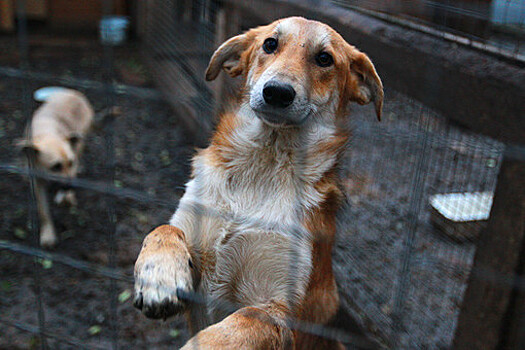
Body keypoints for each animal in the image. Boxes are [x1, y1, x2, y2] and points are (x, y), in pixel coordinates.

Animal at [18, 87, 94, 247]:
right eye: (55, 167)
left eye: (70, 163)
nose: (73, 187)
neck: (47, 133)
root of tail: (76, 94)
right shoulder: (37, 181)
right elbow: (43, 211)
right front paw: (48, 234)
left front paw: (67, 196)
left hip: (80, 141)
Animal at [133, 15, 382, 348]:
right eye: (270, 44)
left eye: (324, 59)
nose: (277, 92)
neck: (262, 167)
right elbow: (163, 229)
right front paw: (159, 276)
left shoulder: (279, 311)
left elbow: (240, 323)